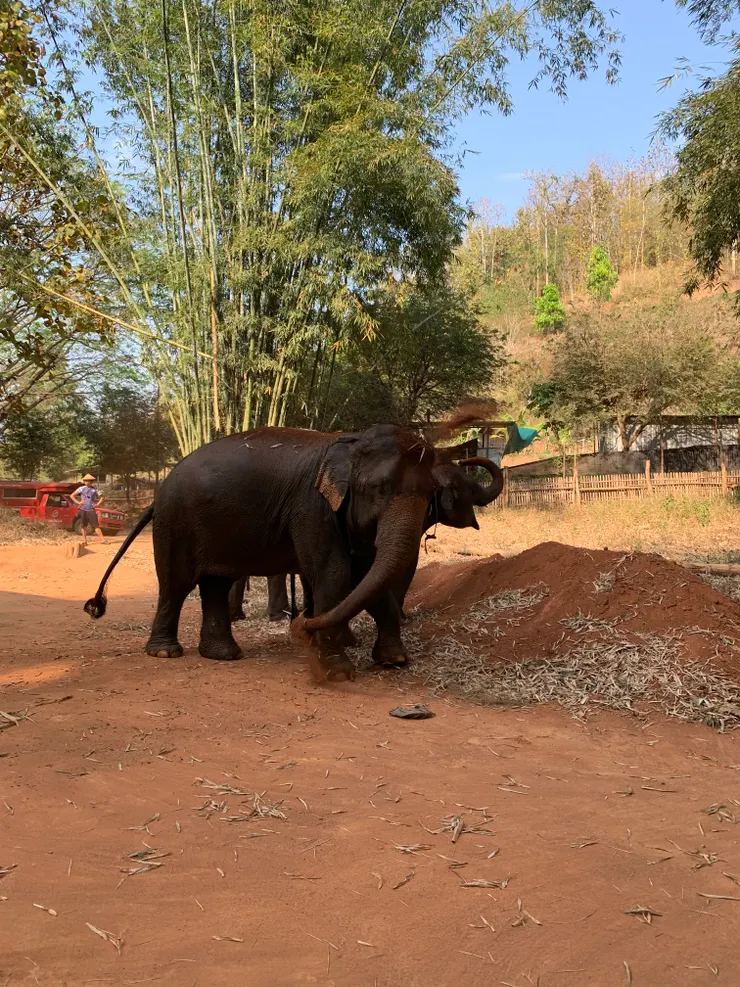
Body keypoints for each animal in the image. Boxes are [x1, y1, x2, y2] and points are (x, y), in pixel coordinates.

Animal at [85, 424, 445, 681]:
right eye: (378, 489)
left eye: (432, 493)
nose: (299, 624)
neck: (350, 441)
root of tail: (157, 495)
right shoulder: (310, 508)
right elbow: (334, 574)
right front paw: (337, 673)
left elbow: (366, 575)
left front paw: (395, 660)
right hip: (176, 522)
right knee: (177, 583)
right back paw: (165, 653)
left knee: (215, 584)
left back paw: (223, 655)